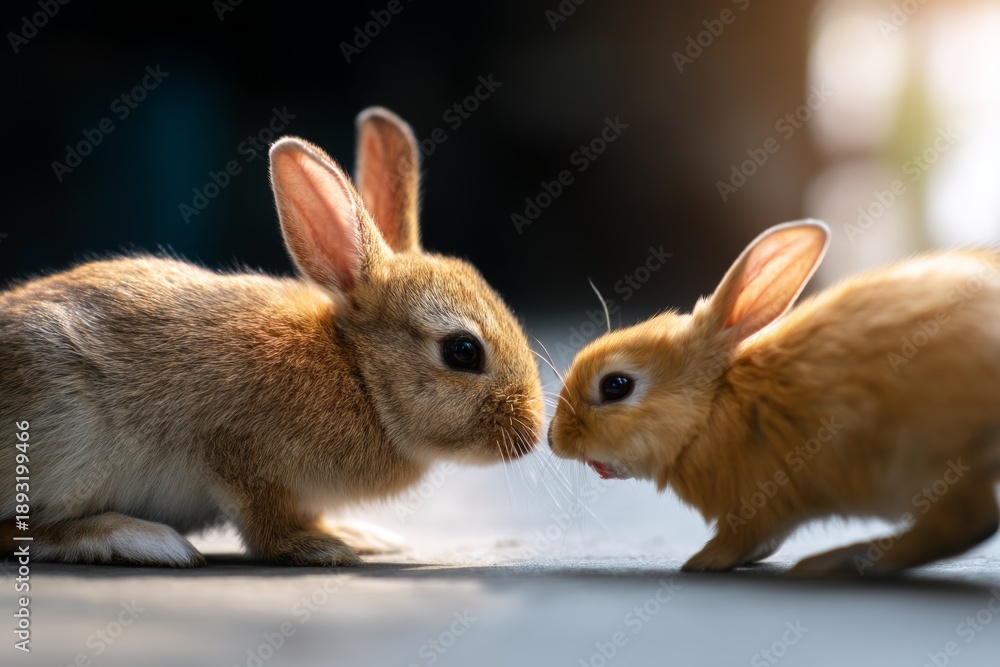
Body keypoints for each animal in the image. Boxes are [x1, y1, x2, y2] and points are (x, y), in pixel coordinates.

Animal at [0, 107, 543, 567]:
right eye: (462, 351)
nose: (531, 434)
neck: (360, 372)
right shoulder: (241, 455)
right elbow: (265, 522)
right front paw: (321, 548)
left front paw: (355, 535)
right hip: (67, 435)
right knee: (19, 529)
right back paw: (142, 539)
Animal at [548, 220, 1000, 575]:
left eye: (615, 386)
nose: (554, 440)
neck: (712, 408)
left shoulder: (756, 506)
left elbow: (742, 538)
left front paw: (703, 561)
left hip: (915, 464)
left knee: (968, 521)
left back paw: (845, 561)